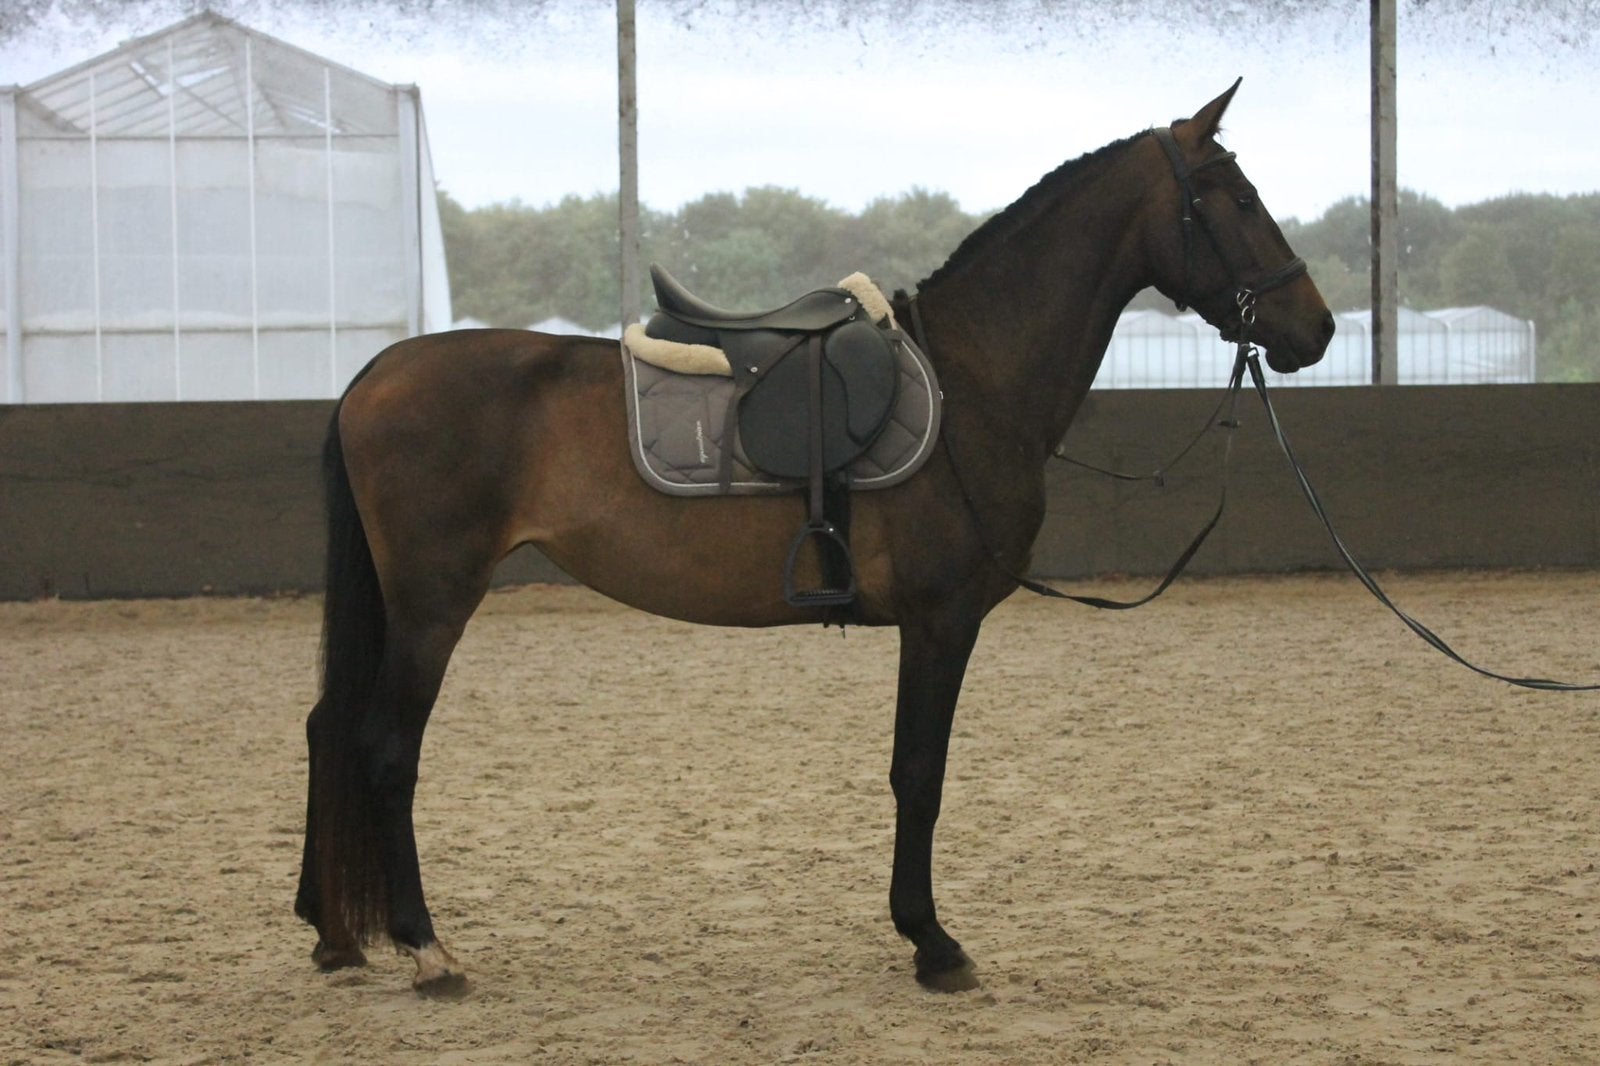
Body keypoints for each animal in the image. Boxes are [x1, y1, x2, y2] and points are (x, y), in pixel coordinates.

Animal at [293, 80, 1335, 996]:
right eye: (1238, 199)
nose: (1316, 328)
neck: (973, 382)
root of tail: (375, 374)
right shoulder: (942, 621)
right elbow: (920, 774)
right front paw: (932, 942)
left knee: (329, 728)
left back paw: (330, 932)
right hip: (433, 603)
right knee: (385, 748)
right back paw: (426, 949)